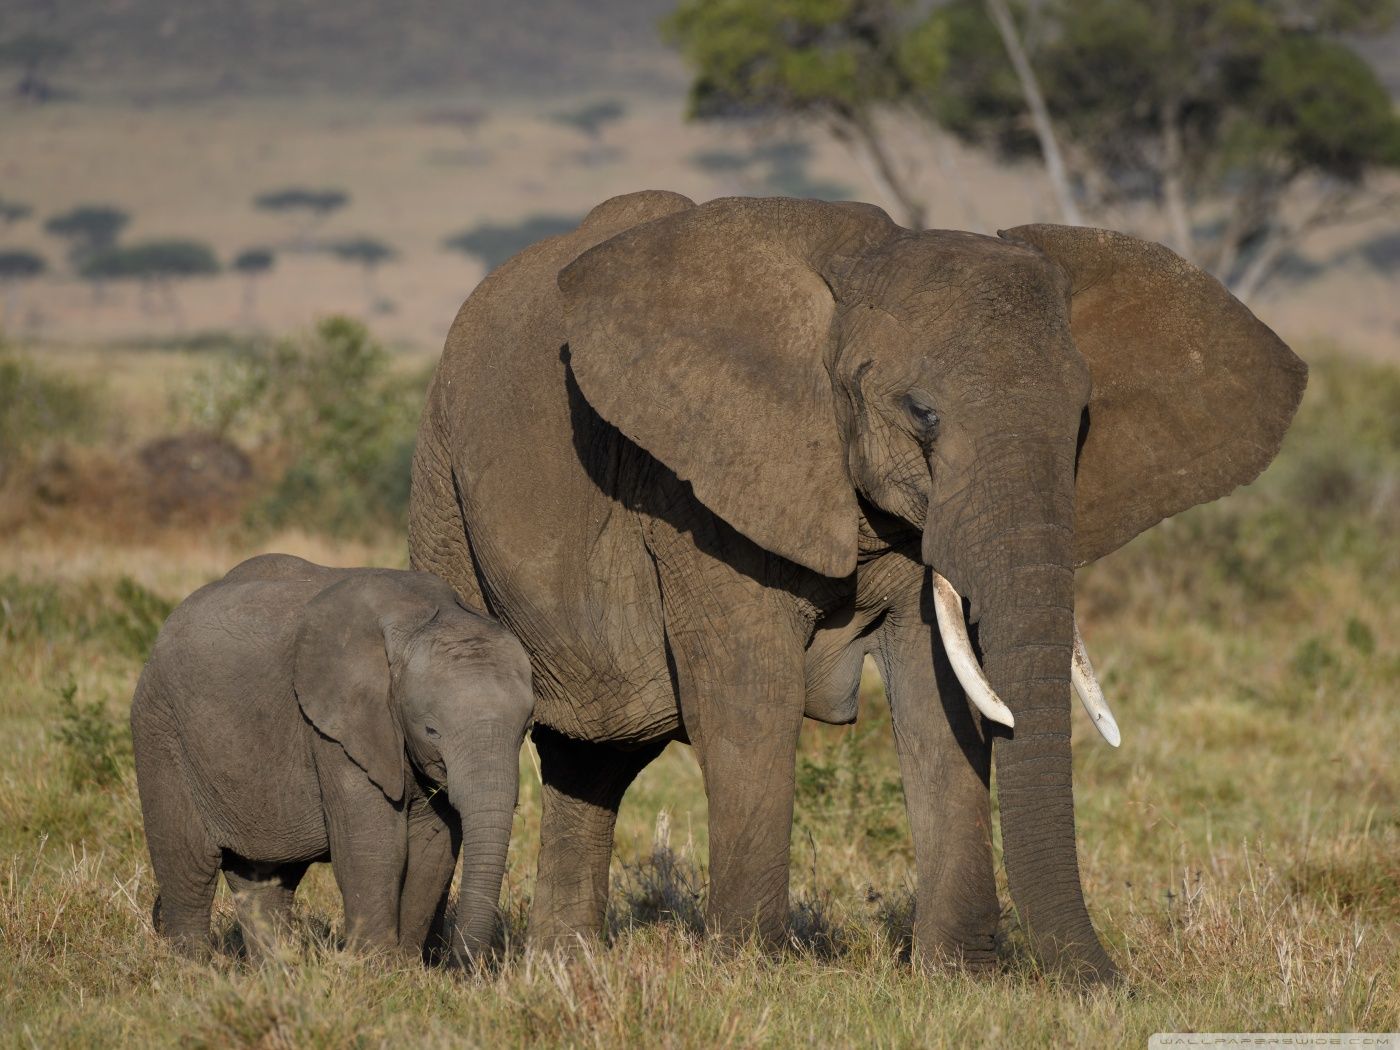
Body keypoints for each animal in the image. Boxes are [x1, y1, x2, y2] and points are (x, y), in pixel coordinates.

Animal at [130, 554, 533, 963]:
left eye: (526, 728)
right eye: (432, 730)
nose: (462, 965)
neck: (424, 617)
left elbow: (431, 848)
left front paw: (405, 969)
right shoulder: (337, 729)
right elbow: (374, 844)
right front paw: (376, 968)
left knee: (264, 878)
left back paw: (276, 970)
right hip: (161, 729)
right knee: (189, 865)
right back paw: (193, 966)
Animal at [407, 191, 1306, 982]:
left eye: (1082, 422)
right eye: (922, 413)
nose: (1111, 984)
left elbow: (938, 698)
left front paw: (959, 978)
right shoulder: (697, 489)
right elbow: (749, 696)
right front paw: (753, 972)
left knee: (591, 759)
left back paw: (561, 968)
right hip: (442, 486)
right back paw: (444, 962)